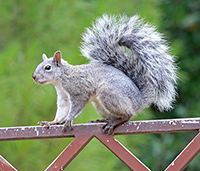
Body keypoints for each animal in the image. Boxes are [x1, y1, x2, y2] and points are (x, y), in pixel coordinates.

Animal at [32, 14, 177, 134]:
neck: (62, 78)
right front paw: (52, 122)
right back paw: (102, 120)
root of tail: (139, 100)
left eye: (47, 67)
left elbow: (76, 107)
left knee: (128, 115)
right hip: (100, 105)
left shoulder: (78, 91)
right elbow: (62, 110)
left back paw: (113, 122)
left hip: (107, 93)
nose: (34, 77)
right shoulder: (64, 98)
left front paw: (68, 120)